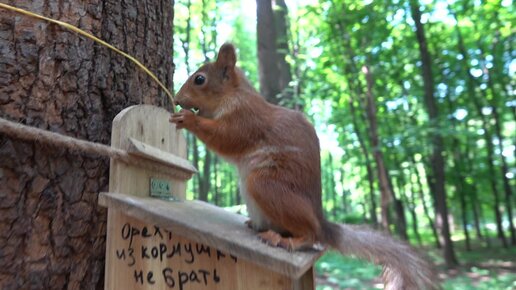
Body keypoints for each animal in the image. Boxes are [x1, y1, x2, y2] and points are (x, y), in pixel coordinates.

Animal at [170, 43, 440, 290]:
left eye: (200, 79)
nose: (176, 99)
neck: (233, 95)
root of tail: (321, 222)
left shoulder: (246, 119)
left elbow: (226, 138)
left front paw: (189, 119)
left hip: (267, 186)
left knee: (311, 236)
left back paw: (284, 240)